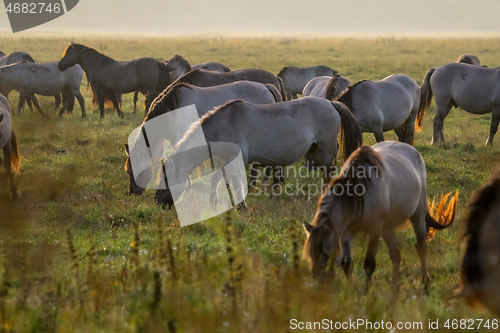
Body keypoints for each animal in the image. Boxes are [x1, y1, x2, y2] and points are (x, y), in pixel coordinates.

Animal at [123, 80, 284, 195]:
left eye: (132, 170)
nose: (133, 193)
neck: (172, 110)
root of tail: (266, 86)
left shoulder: (180, 138)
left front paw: (187, 187)